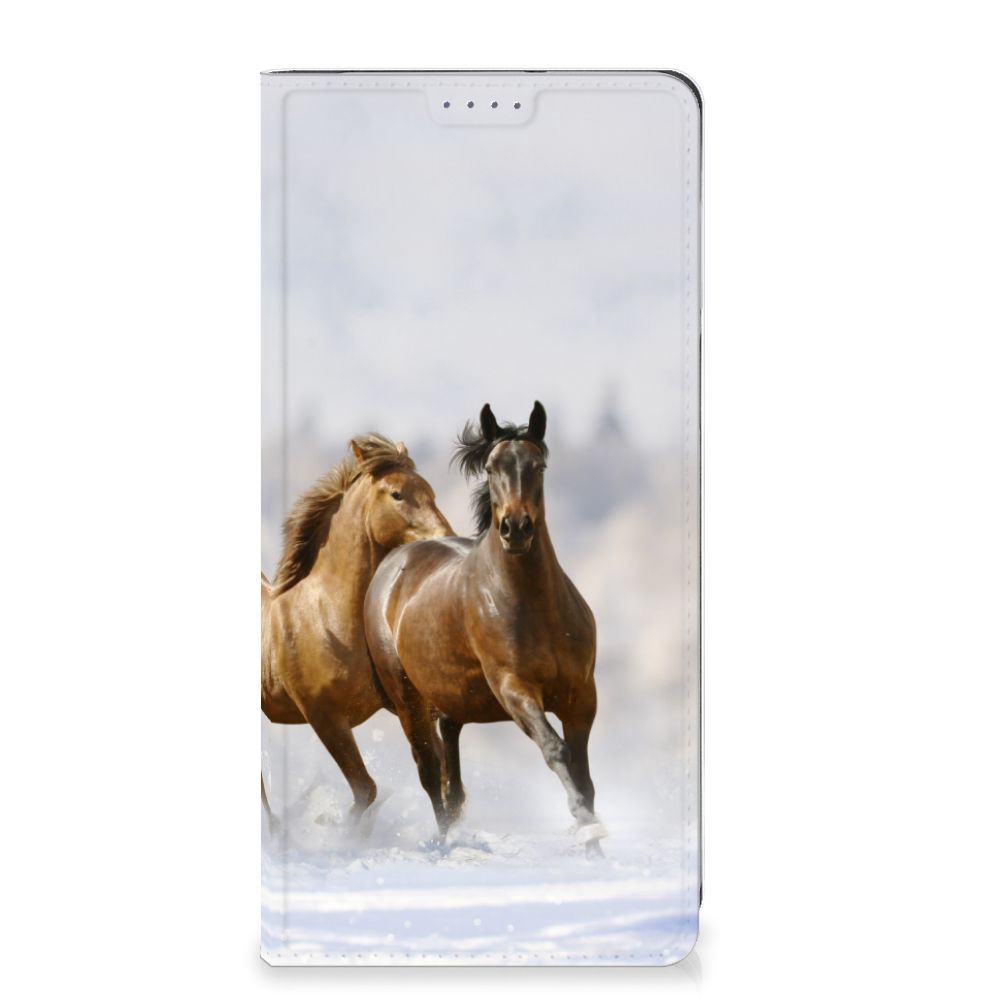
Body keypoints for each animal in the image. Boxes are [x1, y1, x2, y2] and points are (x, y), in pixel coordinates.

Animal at [261, 434, 453, 827]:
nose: (446, 538)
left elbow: (437, 774)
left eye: (430, 491)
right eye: (397, 494)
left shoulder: (406, 706)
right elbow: (366, 789)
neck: (326, 618)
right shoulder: (324, 718)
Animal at [364, 402, 606, 856]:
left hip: (451, 699)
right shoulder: (514, 689)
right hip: (408, 700)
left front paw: (595, 845)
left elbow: (584, 774)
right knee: (430, 772)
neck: (535, 607)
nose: (516, 528)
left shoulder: (581, 696)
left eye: (538, 465)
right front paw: (586, 828)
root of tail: (393, 563)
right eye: (492, 468)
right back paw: (444, 845)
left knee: (451, 775)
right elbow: (556, 751)